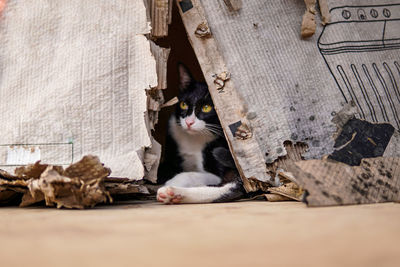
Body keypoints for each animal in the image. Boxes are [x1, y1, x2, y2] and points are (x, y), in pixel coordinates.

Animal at [155, 65, 244, 205]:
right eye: (184, 104)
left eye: (206, 108)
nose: (189, 122)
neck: (194, 139)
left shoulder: (216, 168)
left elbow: (194, 174)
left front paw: (173, 181)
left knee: (232, 188)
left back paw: (171, 192)